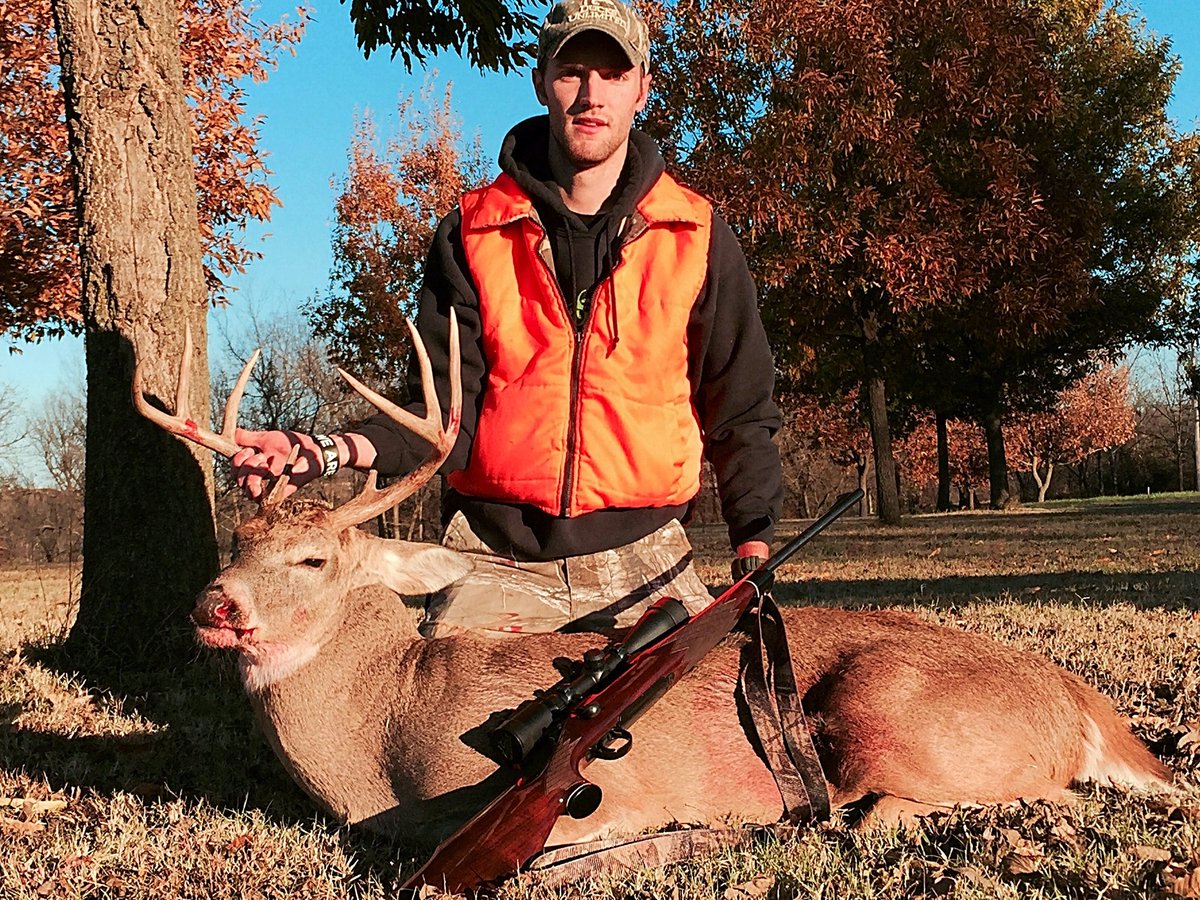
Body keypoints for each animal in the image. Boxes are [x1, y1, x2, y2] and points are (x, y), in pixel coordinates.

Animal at [134, 314, 1171, 851]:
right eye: (233, 543)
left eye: (314, 560)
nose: (213, 605)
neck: (381, 740)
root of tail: (1080, 699)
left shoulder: (596, 805)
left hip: (895, 714)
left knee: (1011, 798)